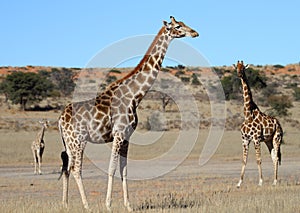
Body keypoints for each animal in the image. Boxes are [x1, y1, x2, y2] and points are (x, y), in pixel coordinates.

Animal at [58, 15, 199, 211]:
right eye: (178, 26)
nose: (195, 32)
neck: (135, 96)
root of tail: (60, 120)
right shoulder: (118, 134)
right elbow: (112, 168)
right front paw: (108, 205)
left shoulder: (127, 137)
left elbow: (124, 170)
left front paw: (128, 205)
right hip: (78, 140)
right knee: (76, 169)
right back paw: (87, 206)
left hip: (69, 143)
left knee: (66, 167)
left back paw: (65, 204)